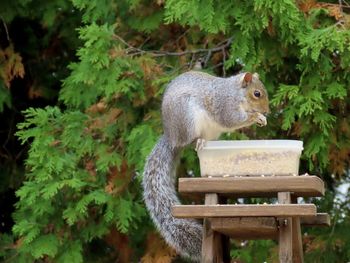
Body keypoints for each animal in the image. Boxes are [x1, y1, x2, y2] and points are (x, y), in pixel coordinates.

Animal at [142, 70, 270, 262]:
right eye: (257, 94)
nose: (267, 111)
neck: (236, 93)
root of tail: (172, 137)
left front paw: (261, 118)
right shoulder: (225, 106)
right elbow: (232, 120)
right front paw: (255, 116)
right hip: (187, 119)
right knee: (190, 141)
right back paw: (199, 141)